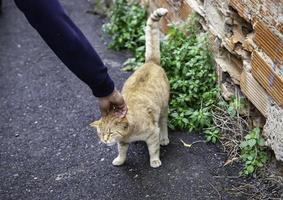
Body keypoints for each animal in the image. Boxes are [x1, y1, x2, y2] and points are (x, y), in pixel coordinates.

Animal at [91, 7, 170, 168]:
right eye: (101, 134)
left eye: (110, 133)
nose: (104, 140)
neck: (130, 134)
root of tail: (151, 62)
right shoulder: (122, 141)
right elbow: (121, 151)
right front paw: (120, 160)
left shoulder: (153, 133)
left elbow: (153, 149)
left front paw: (154, 160)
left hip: (164, 108)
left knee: (163, 123)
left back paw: (164, 138)